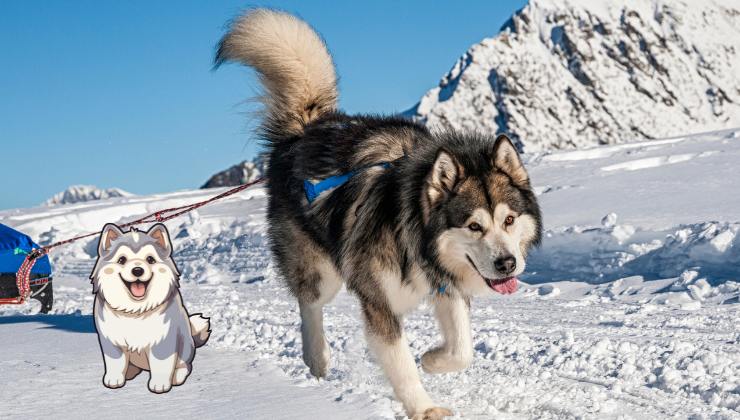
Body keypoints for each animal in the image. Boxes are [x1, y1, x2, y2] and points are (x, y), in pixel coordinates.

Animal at [91, 225, 211, 392]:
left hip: (185, 346)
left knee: (185, 366)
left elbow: (161, 363)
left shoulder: (164, 339)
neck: (135, 311)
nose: (137, 270)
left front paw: (159, 385)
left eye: (150, 259)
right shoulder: (111, 340)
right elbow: (115, 362)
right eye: (122, 260)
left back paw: (177, 377)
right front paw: (114, 380)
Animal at [217, 9, 540, 416]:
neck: (415, 233)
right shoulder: (378, 303)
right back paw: (317, 357)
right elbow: (400, 362)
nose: (507, 264)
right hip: (322, 272)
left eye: (509, 220)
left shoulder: (444, 282)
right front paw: (424, 408)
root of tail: (305, 130)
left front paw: (433, 359)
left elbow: (462, 349)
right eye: (474, 226)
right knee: (310, 304)